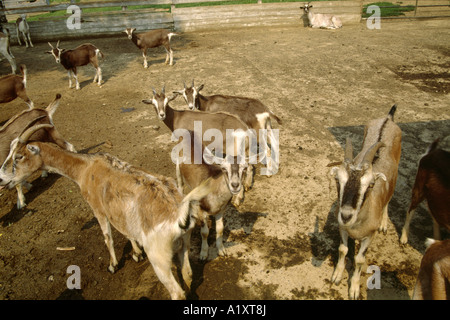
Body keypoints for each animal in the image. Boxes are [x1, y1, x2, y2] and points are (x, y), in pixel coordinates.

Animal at [0, 123, 214, 300]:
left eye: (19, 156)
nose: (2, 180)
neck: (85, 169)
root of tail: (178, 211)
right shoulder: (118, 211)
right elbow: (125, 230)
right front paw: (136, 253)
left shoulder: (98, 209)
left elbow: (107, 236)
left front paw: (112, 265)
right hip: (184, 242)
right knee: (188, 274)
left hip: (158, 256)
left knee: (176, 292)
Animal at [175, 130, 250, 260]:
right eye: (224, 168)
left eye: (244, 168)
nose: (235, 185)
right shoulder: (201, 209)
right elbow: (204, 232)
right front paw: (203, 254)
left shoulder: (221, 210)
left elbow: (220, 230)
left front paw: (222, 250)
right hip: (178, 168)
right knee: (180, 185)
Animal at [328, 105, 402, 300]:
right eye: (338, 180)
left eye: (370, 184)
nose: (346, 215)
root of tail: (388, 118)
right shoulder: (343, 228)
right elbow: (343, 249)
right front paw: (337, 275)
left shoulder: (369, 236)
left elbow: (360, 259)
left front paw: (354, 288)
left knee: (388, 200)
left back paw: (384, 223)